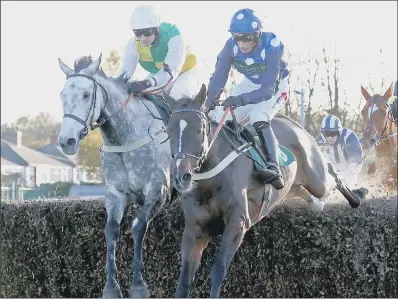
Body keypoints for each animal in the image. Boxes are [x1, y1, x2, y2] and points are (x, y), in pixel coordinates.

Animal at [57, 55, 174, 298]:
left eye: (86, 94)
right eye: (62, 95)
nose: (66, 142)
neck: (125, 136)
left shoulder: (158, 190)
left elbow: (138, 226)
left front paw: (138, 285)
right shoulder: (115, 193)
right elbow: (110, 230)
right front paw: (111, 287)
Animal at [163, 85, 368, 299]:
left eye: (199, 129)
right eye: (169, 130)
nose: (181, 176)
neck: (209, 180)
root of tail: (290, 122)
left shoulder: (238, 222)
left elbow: (218, 268)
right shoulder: (195, 230)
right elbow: (184, 279)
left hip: (316, 178)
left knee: (330, 173)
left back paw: (357, 196)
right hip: (291, 186)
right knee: (303, 191)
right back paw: (318, 203)